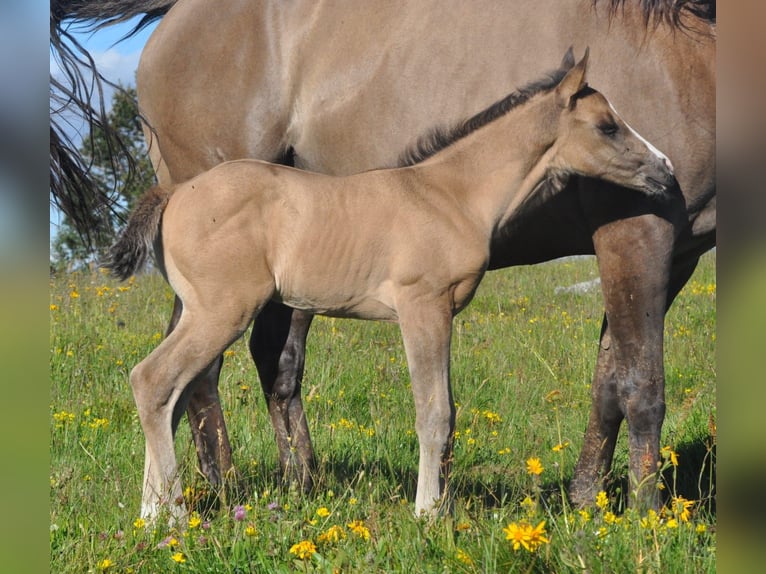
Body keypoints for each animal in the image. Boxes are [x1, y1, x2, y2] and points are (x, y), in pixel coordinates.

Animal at [55, 1, 720, 512]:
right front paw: (429, 513)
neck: (448, 192)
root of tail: (175, 193)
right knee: (157, 380)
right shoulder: (426, 306)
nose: (663, 171)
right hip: (220, 310)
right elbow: (436, 412)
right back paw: (174, 512)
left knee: (182, 386)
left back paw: (170, 508)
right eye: (609, 125)